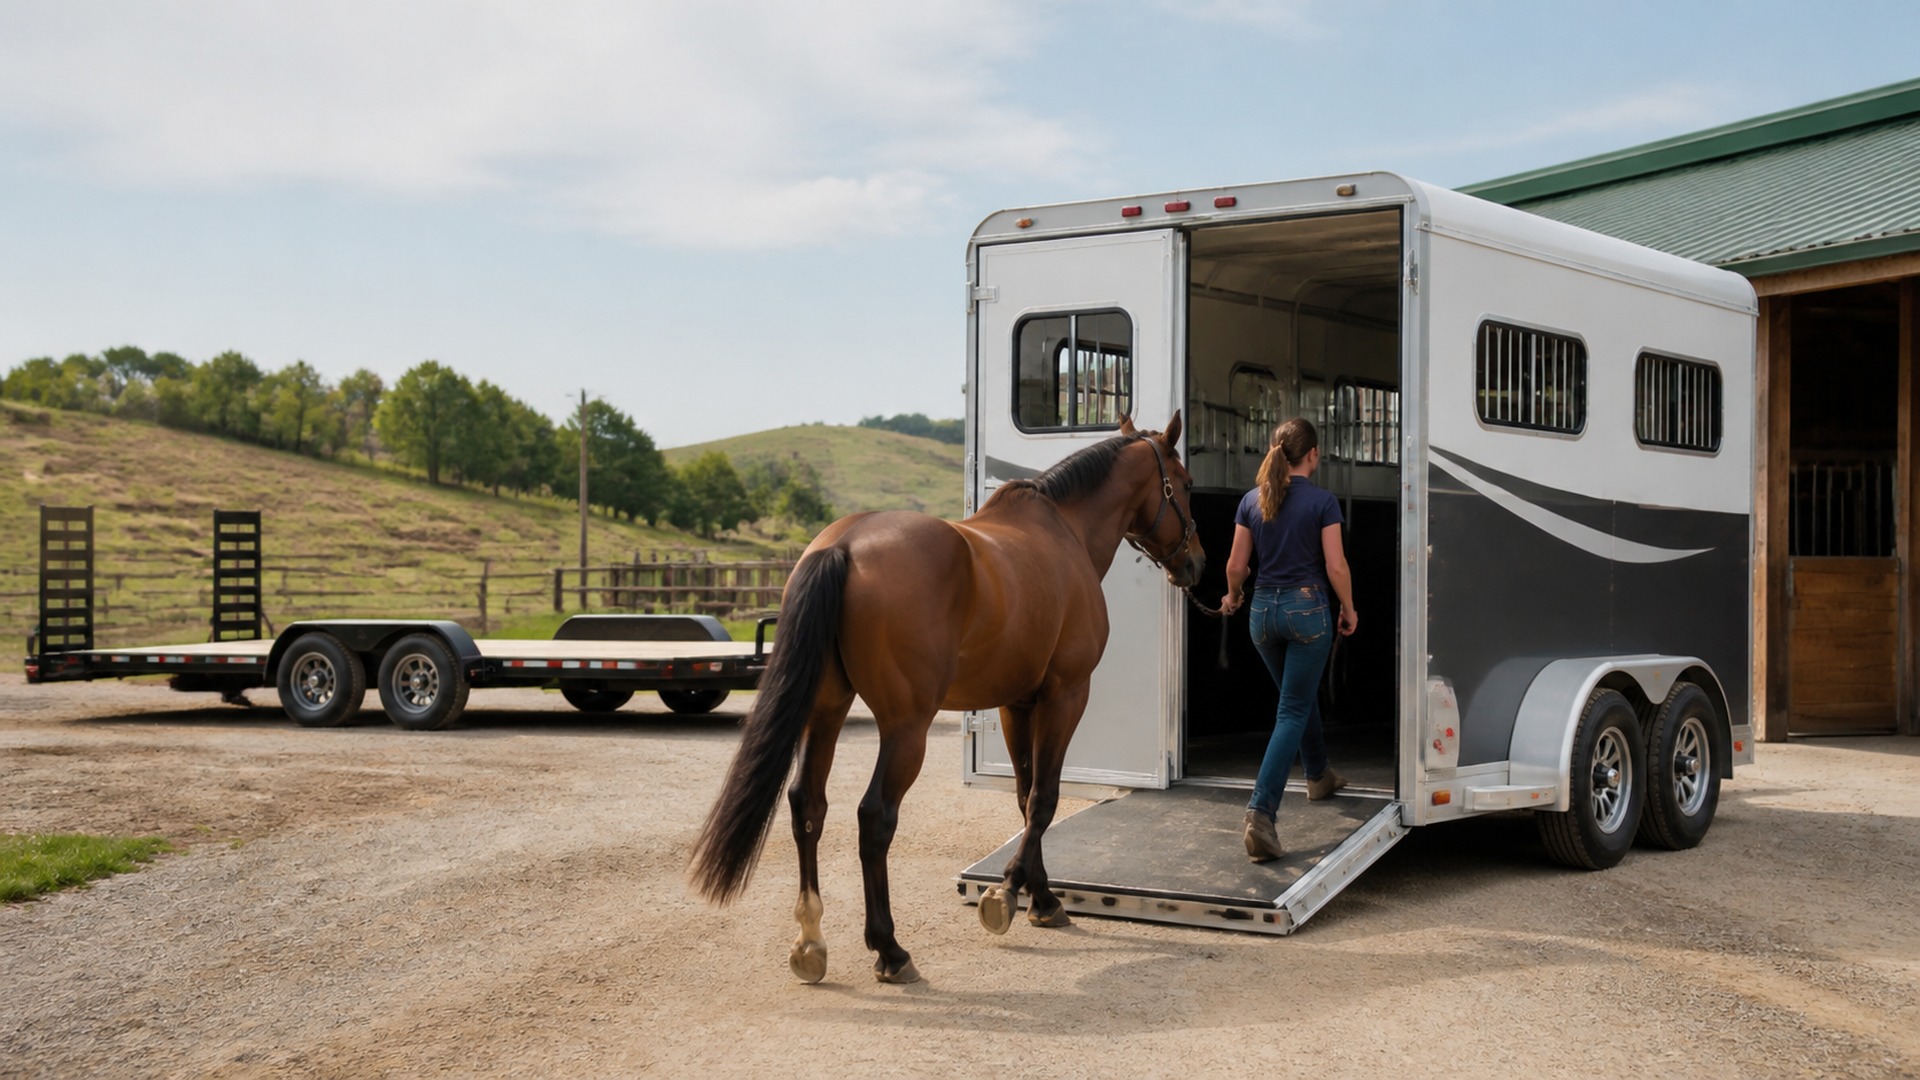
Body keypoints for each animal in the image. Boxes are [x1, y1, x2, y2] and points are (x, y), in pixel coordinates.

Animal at [688, 413, 1203, 984]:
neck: (1064, 532)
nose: (1196, 565)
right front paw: (1008, 895)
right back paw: (890, 949)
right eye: (1185, 485)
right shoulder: (1066, 695)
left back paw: (811, 941)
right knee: (875, 817)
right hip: (906, 727)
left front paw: (1041, 898)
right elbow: (1044, 799)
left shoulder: (1015, 703)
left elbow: (1024, 797)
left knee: (807, 804)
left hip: (825, 713)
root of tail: (843, 546)